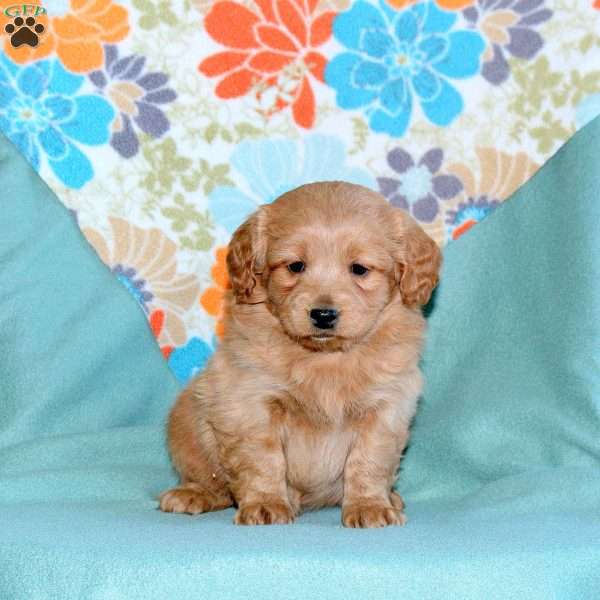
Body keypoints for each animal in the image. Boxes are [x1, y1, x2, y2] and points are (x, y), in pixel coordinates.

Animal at [159, 180, 440, 528]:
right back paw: (193, 493)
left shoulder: (386, 405)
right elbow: (263, 459)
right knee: (212, 480)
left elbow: (369, 461)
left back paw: (391, 498)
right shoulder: (250, 401)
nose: (323, 314)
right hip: (187, 421)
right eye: (295, 266)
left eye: (359, 269)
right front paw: (266, 503)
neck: (324, 358)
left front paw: (369, 505)